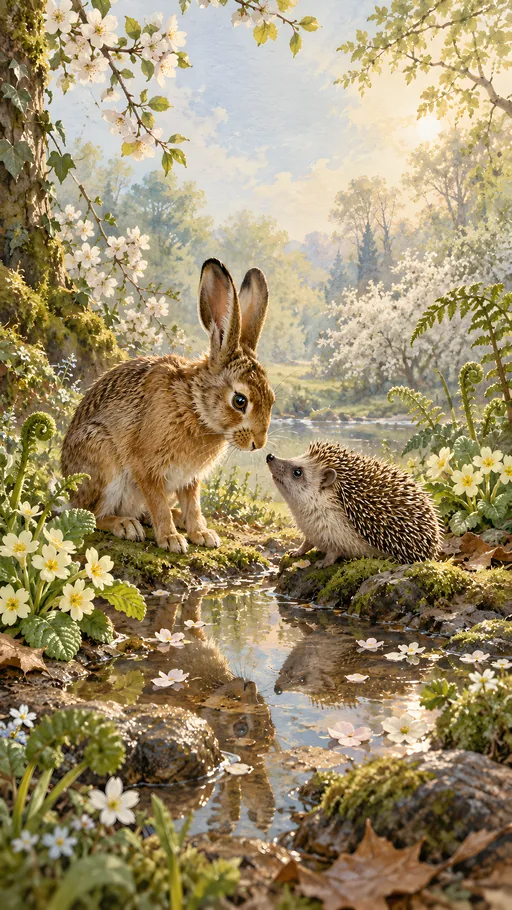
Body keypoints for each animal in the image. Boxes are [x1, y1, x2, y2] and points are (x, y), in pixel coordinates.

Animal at [61, 258, 274, 553]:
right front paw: (172, 540)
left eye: (272, 399)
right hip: (102, 462)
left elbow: (193, 504)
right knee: (93, 514)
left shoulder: (189, 478)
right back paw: (125, 525)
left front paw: (202, 534)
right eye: (239, 401)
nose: (258, 443)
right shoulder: (146, 467)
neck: (194, 405)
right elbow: (157, 502)